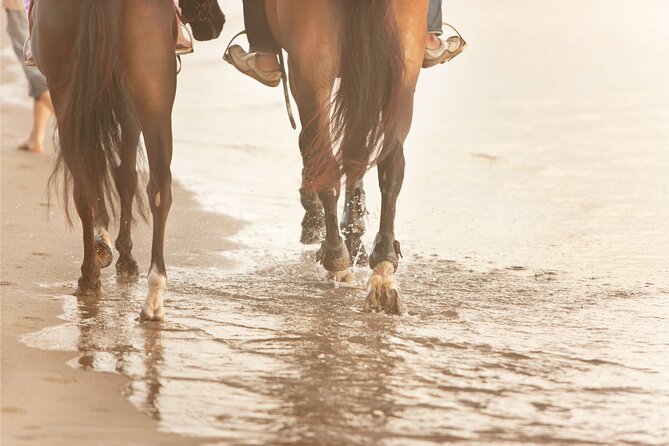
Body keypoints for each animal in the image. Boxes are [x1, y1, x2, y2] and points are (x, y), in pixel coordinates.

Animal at [31, 0, 223, 321]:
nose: (216, 23)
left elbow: (117, 175)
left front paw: (108, 247)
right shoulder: (127, 106)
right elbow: (126, 177)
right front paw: (122, 254)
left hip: (70, 95)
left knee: (89, 184)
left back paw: (91, 277)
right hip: (152, 100)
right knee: (159, 187)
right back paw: (152, 293)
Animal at [264, 0, 427, 314]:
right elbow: (355, 152)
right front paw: (354, 226)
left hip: (310, 65)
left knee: (324, 160)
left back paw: (336, 258)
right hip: (403, 67)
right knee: (390, 162)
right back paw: (382, 268)